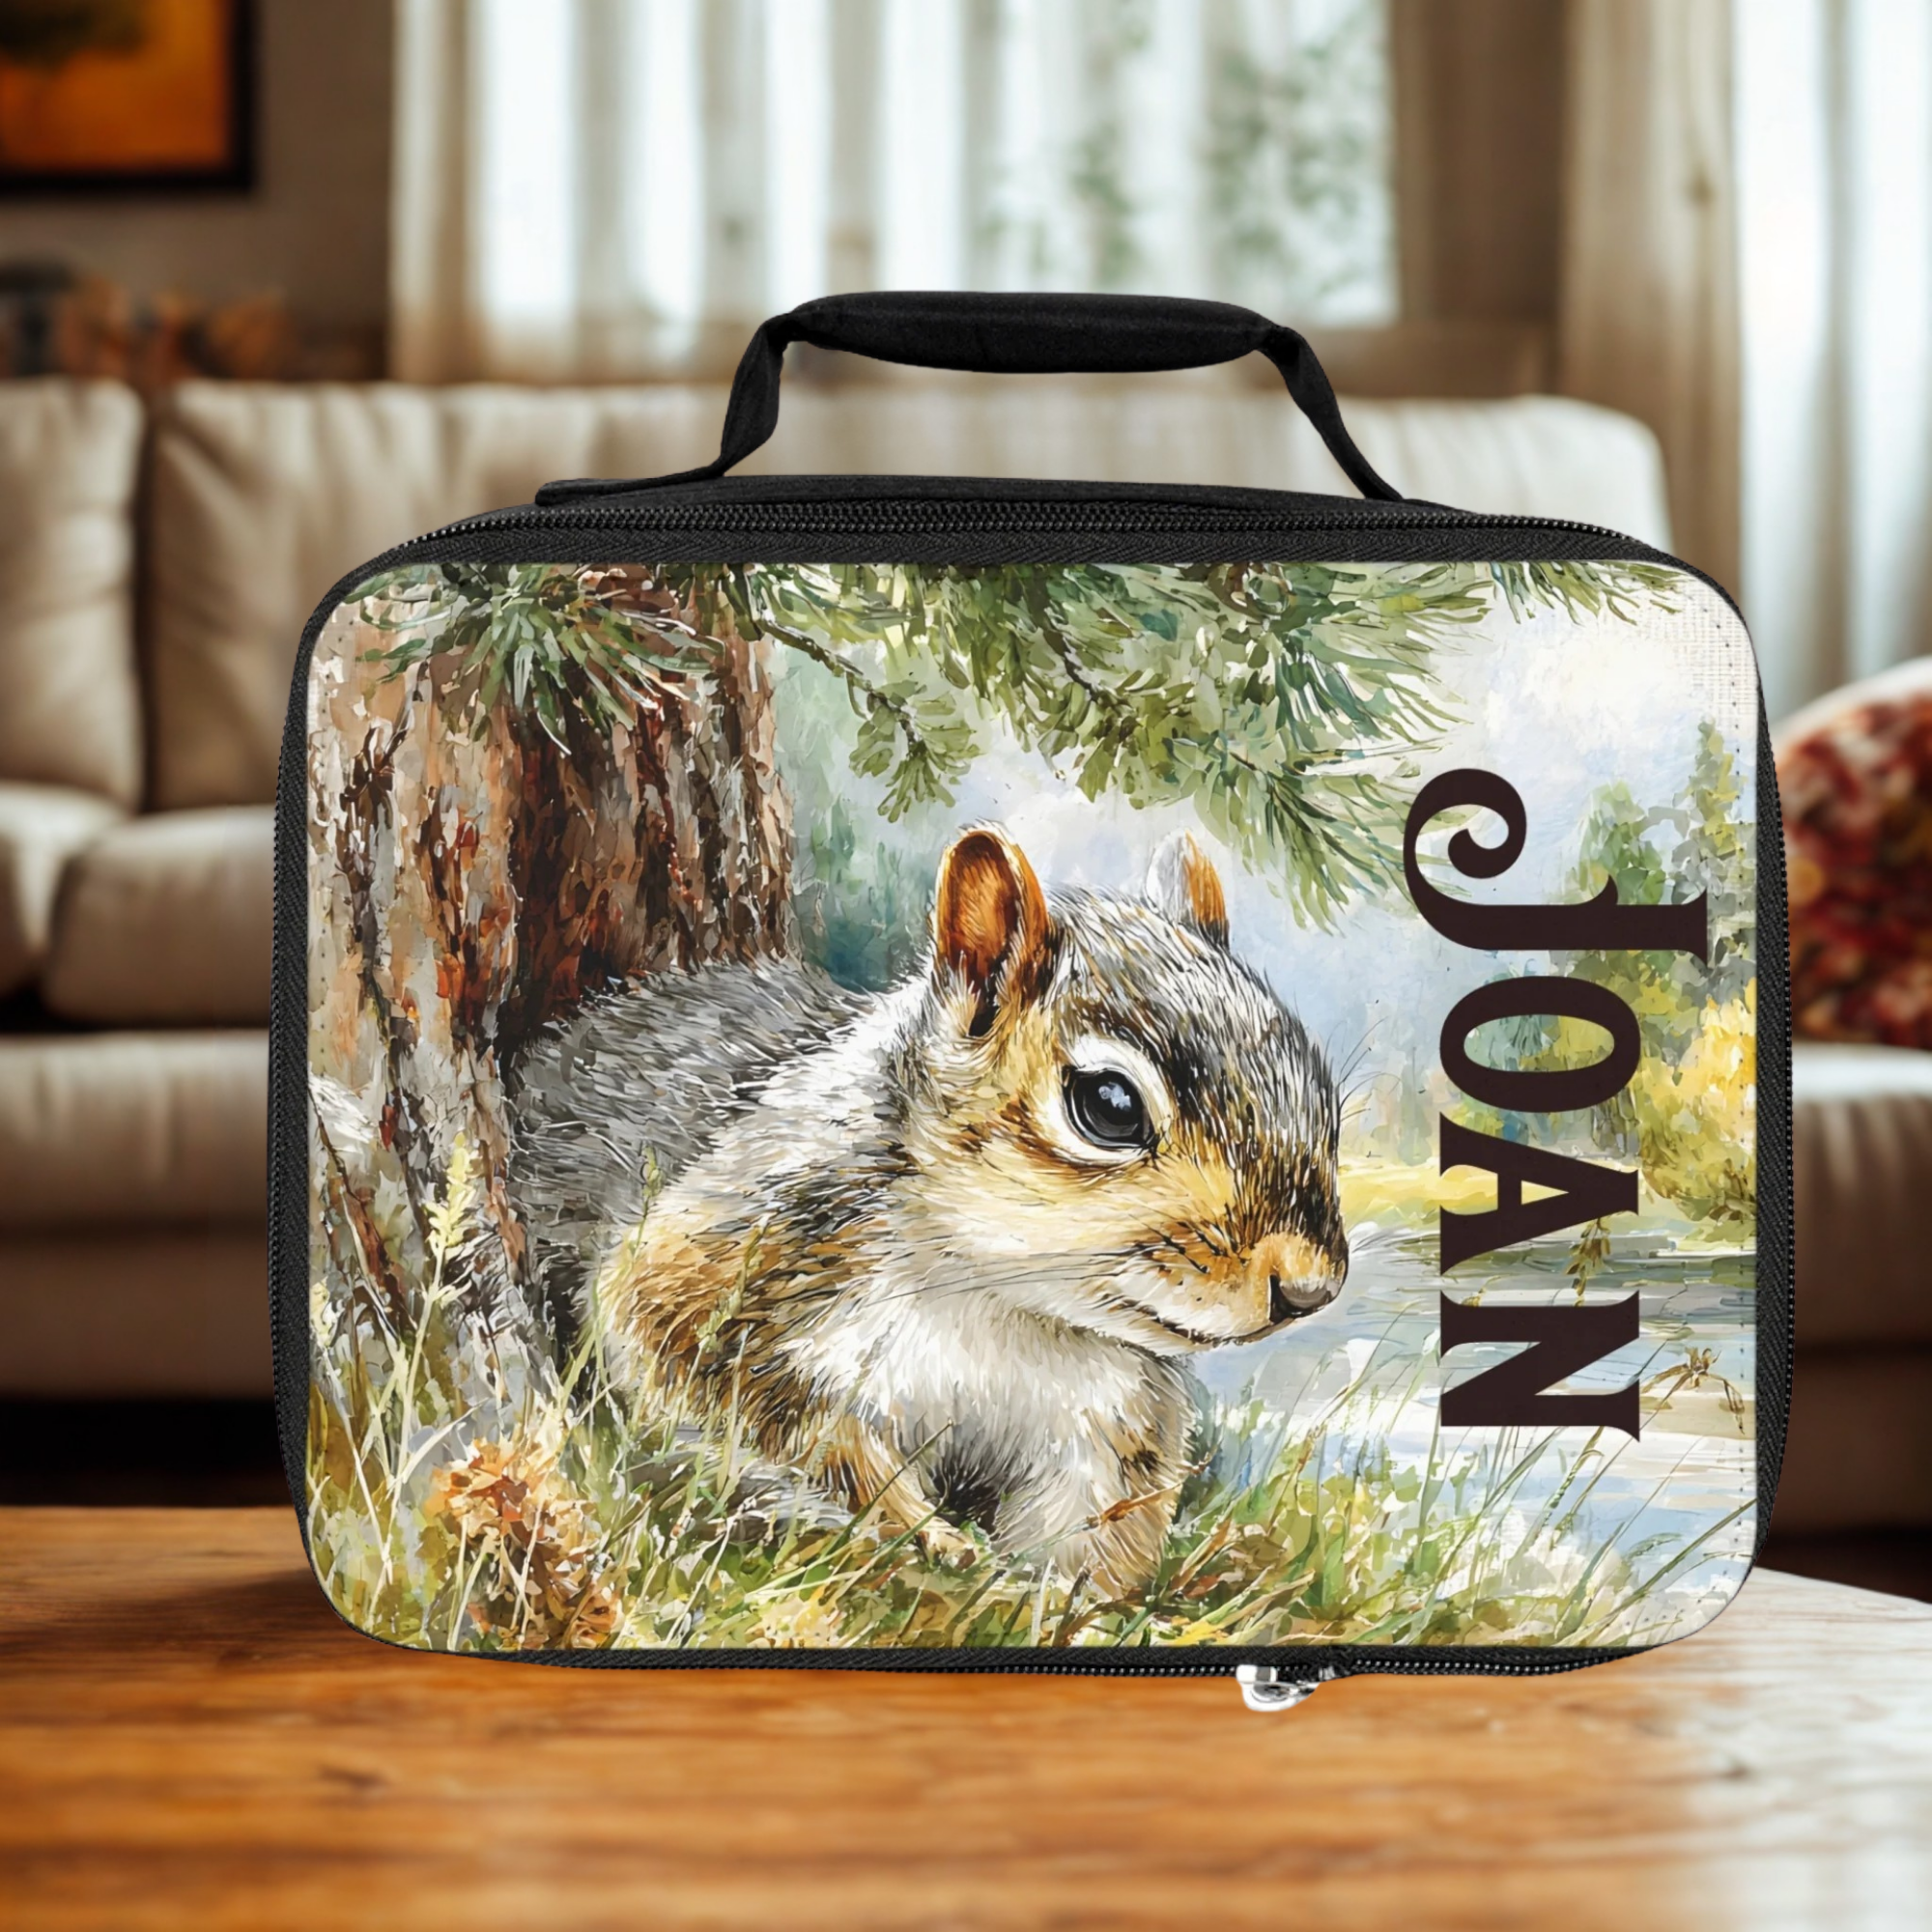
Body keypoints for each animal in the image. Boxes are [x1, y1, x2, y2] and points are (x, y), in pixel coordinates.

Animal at [509, 825, 1347, 1596]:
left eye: (1320, 1085)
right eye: (1108, 1105)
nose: (1311, 1287)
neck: (1000, 1302)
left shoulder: (1109, 1418)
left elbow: (1098, 1526)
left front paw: (1068, 1595)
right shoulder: (728, 1270)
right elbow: (781, 1424)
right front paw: (927, 1535)